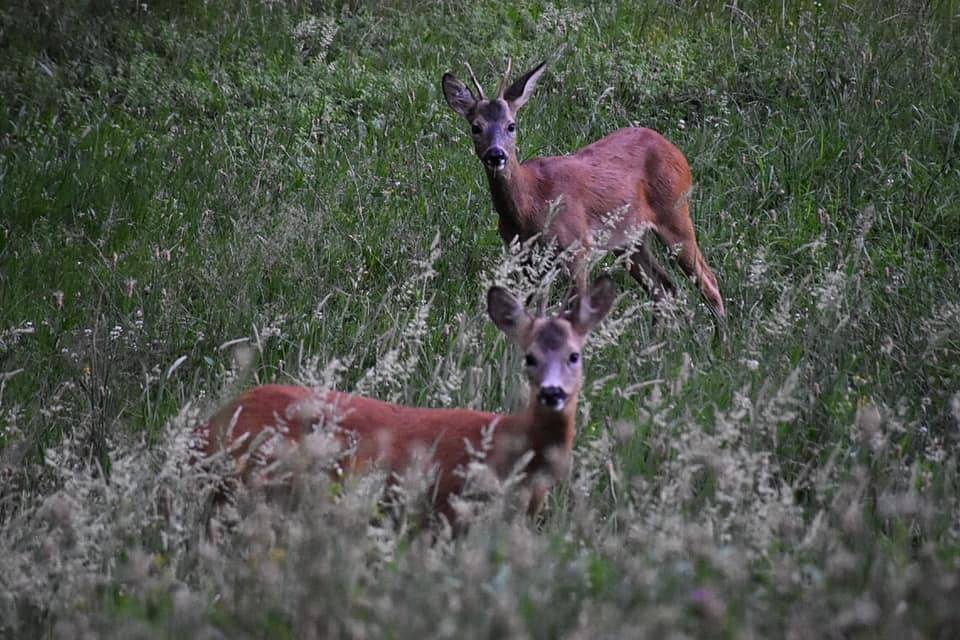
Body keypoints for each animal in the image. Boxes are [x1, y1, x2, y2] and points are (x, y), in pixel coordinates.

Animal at [442, 58, 728, 320]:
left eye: (511, 125)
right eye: (476, 127)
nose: (496, 155)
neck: (531, 204)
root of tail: (675, 151)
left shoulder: (578, 248)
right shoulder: (527, 258)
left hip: (675, 214)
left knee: (708, 281)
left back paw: (720, 339)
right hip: (630, 239)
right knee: (663, 287)